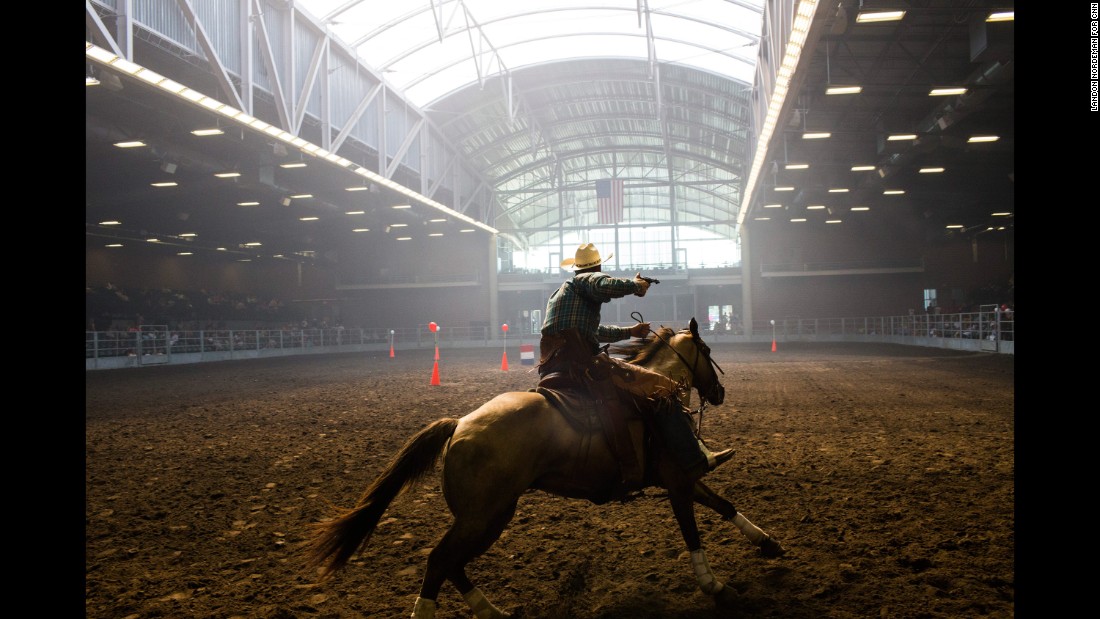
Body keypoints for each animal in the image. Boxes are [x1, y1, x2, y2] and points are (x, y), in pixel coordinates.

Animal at [308, 316, 783, 615]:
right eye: (706, 349)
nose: (719, 392)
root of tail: (459, 424)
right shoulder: (677, 482)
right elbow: (693, 532)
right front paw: (715, 585)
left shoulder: (678, 479)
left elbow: (723, 505)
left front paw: (768, 543)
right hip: (482, 515)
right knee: (440, 561)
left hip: (492, 514)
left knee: (452, 564)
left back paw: (492, 611)